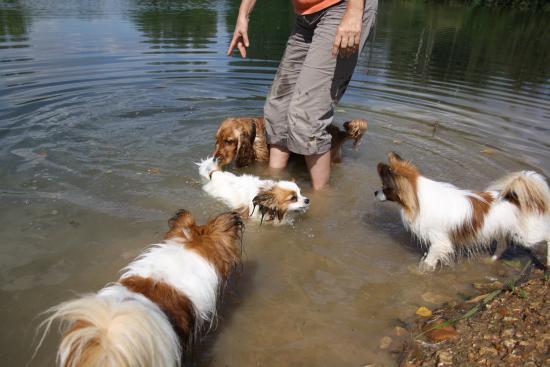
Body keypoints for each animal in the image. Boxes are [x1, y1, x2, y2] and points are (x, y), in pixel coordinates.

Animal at [376, 152, 550, 274]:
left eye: (385, 187)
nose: (375, 192)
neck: (418, 196)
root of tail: (515, 199)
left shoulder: (439, 242)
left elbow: (429, 260)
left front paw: (422, 271)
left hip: (526, 236)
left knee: (546, 235)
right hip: (503, 230)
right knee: (502, 246)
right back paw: (491, 260)